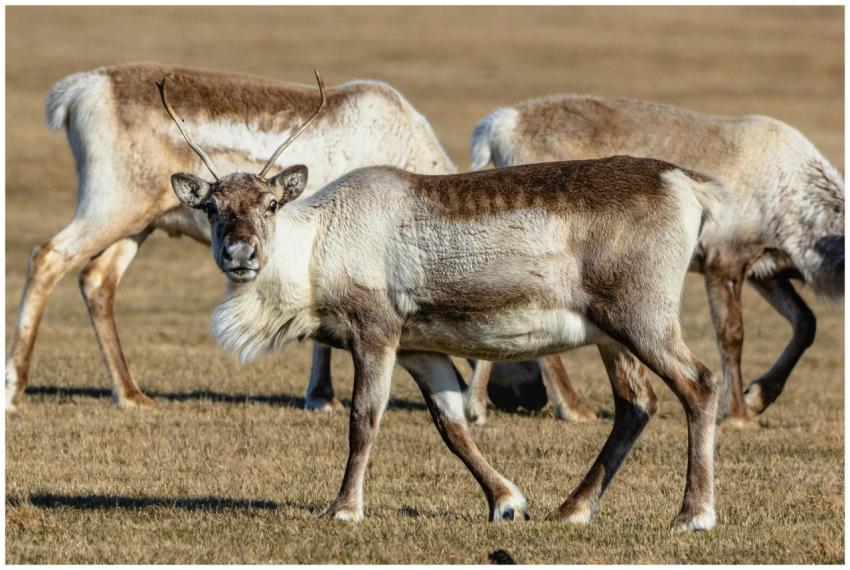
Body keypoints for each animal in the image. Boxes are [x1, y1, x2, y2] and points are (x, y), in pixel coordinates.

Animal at [161, 76, 728, 531]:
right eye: (211, 206)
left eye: (272, 203)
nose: (241, 253)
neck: (318, 246)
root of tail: (686, 185)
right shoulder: (421, 347)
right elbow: (451, 425)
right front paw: (506, 502)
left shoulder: (376, 332)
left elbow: (364, 419)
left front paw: (344, 508)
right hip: (612, 334)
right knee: (637, 403)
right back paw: (572, 509)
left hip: (643, 316)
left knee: (699, 383)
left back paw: (692, 515)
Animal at [467, 94, 844, 427]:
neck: (796, 205)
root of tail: (496, 125)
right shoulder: (723, 262)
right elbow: (732, 336)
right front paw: (739, 414)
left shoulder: (764, 270)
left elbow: (806, 322)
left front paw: (757, 397)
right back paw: (572, 409)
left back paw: (479, 408)